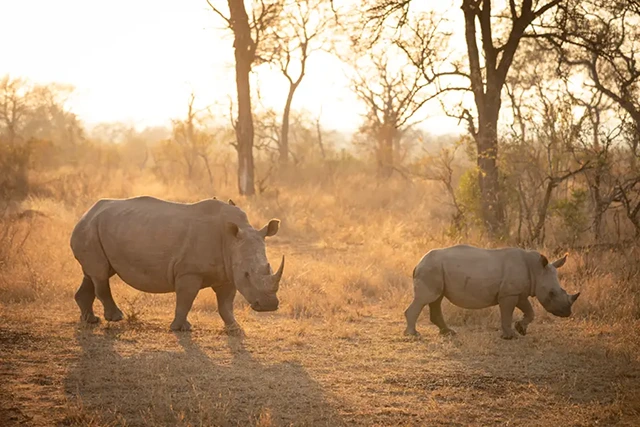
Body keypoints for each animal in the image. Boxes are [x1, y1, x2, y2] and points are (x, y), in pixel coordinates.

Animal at [70, 196, 284, 332]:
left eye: (269, 267)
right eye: (247, 275)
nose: (269, 306)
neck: (232, 239)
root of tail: (87, 212)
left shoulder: (228, 272)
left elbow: (226, 303)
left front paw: (235, 328)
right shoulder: (189, 272)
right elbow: (186, 299)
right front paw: (180, 329)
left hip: (100, 229)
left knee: (93, 274)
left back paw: (91, 320)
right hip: (90, 228)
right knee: (100, 274)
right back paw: (115, 318)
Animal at [404, 244, 580, 339]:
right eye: (551, 293)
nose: (567, 313)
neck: (536, 269)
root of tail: (418, 263)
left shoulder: (518, 292)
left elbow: (530, 311)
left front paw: (521, 329)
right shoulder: (508, 294)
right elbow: (507, 314)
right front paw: (510, 336)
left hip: (435, 269)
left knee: (436, 299)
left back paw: (448, 333)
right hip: (430, 268)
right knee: (425, 299)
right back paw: (413, 334)